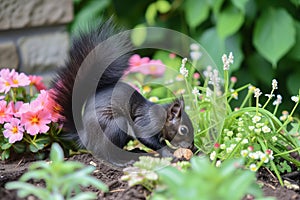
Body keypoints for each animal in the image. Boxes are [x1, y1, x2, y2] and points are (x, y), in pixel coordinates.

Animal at [52, 18, 196, 166]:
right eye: (183, 129)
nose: (192, 147)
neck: (162, 116)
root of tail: (85, 137)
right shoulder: (148, 123)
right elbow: (146, 137)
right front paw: (169, 153)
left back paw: (135, 151)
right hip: (117, 125)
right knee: (106, 153)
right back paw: (120, 162)